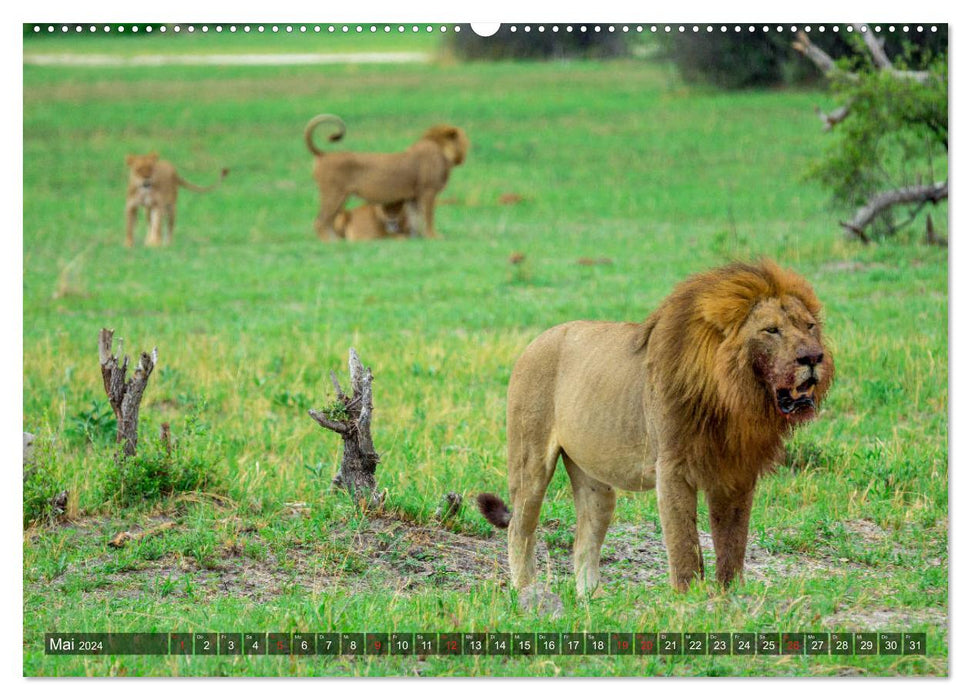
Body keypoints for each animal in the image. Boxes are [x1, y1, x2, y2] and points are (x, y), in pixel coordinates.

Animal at [478, 262, 836, 596]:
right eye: (771, 330)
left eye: (809, 326)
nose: (813, 357)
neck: (733, 397)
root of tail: (535, 341)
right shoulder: (673, 468)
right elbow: (684, 544)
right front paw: (689, 599)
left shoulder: (736, 472)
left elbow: (733, 542)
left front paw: (730, 594)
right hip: (531, 461)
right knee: (520, 528)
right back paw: (528, 592)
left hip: (595, 483)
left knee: (584, 541)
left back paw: (593, 601)